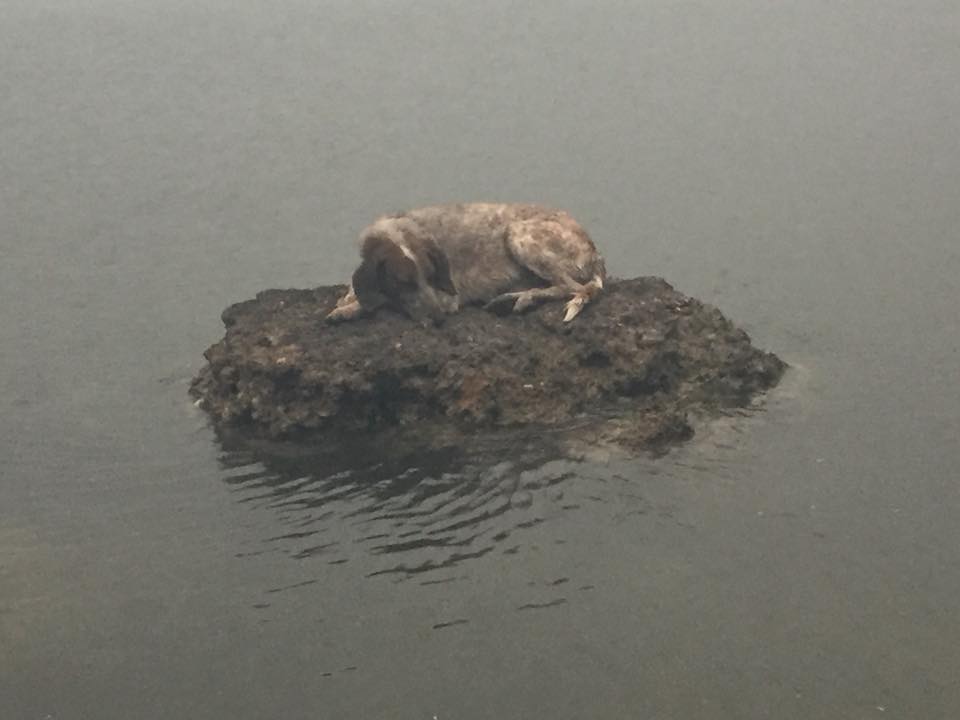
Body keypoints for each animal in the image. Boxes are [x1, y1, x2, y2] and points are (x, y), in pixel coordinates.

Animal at [326, 204, 604, 324]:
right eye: (402, 282)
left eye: (431, 276)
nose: (439, 318)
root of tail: (595, 253)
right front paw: (347, 300)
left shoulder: (448, 297)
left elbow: (382, 302)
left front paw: (349, 309)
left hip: (517, 234)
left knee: (573, 287)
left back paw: (520, 297)